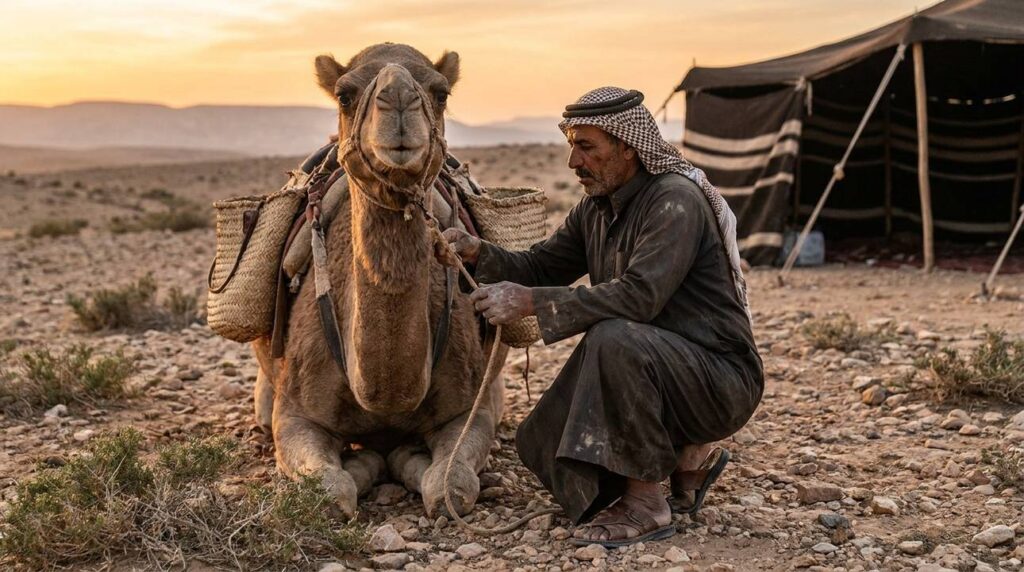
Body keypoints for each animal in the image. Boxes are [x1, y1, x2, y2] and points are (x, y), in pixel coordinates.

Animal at [251, 43, 507, 518]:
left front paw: (404, 456)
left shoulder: (468, 410)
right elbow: (331, 493)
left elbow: (451, 486)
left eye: (441, 93)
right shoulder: (296, 413)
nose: (399, 100)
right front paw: (366, 460)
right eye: (344, 95)